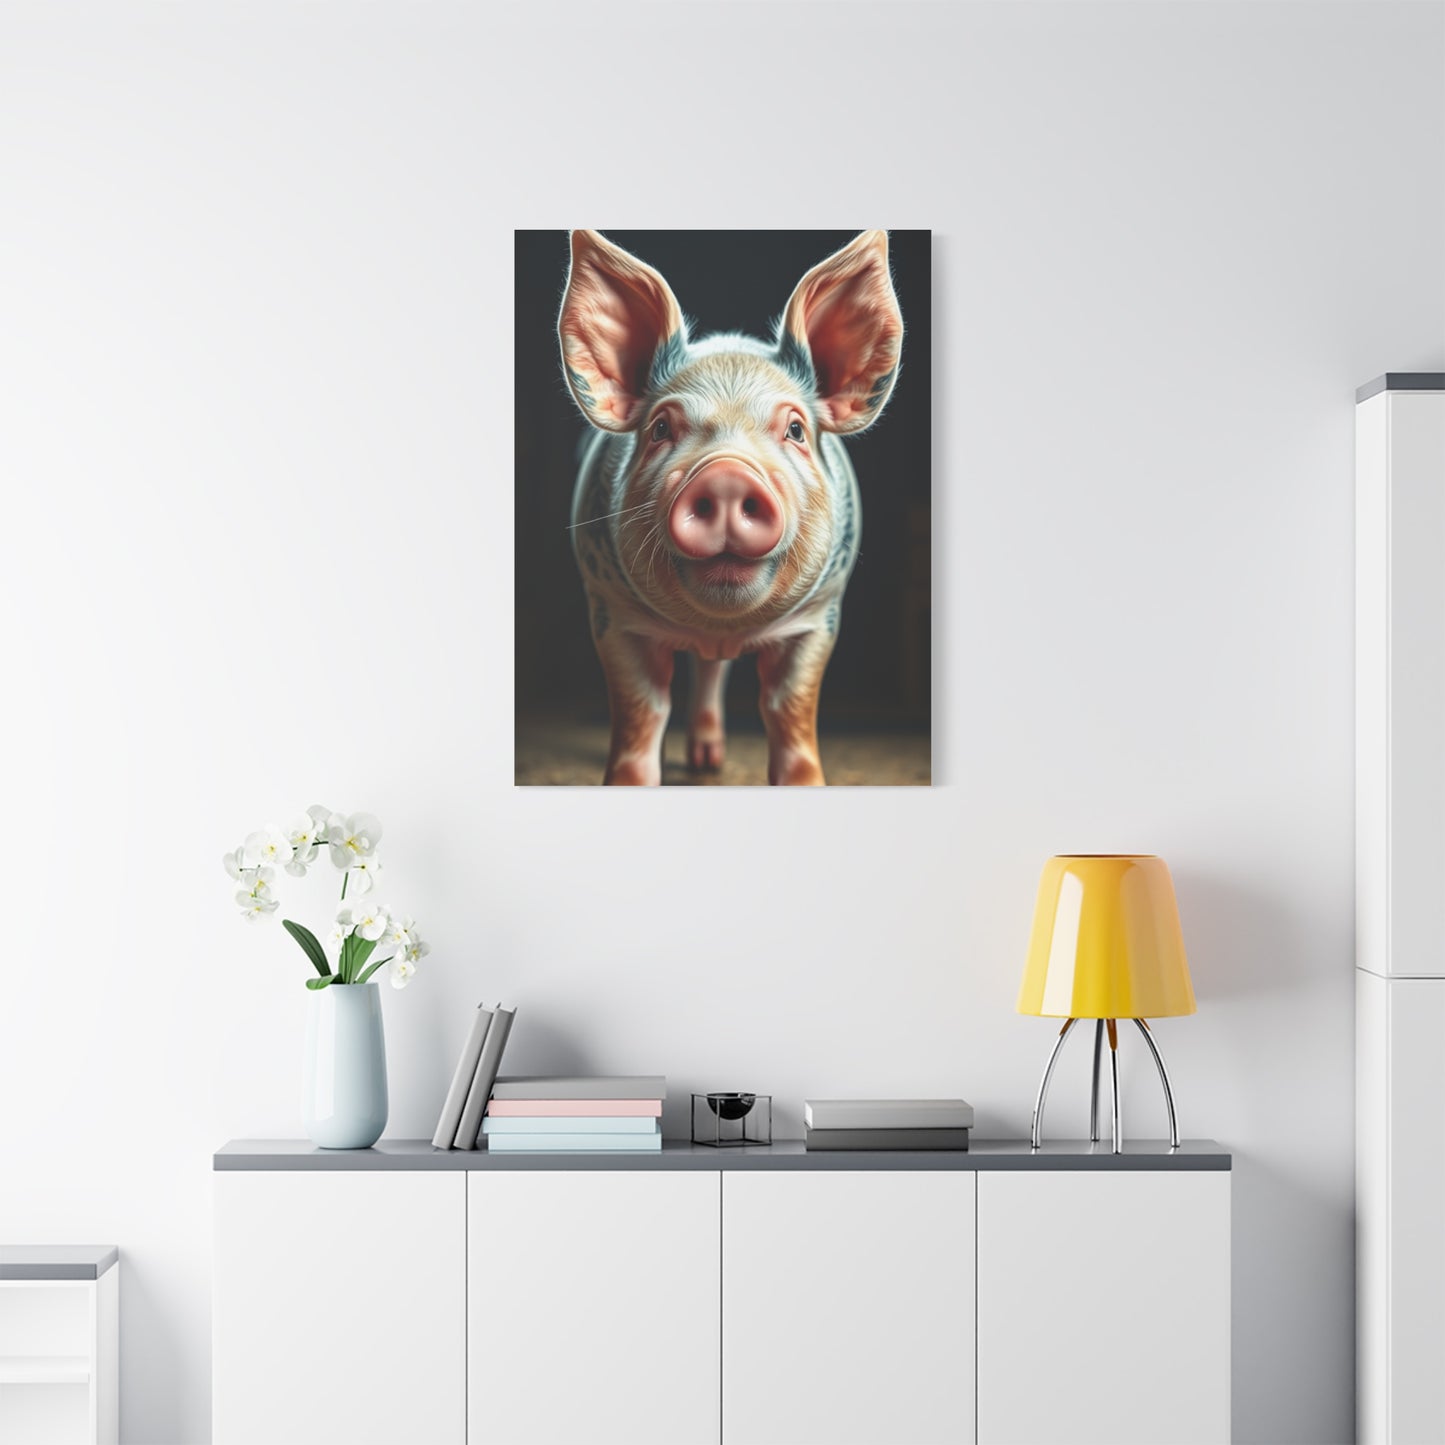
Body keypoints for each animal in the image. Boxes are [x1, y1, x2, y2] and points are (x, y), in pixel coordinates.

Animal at [559, 229, 904, 785]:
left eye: (795, 430)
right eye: (661, 428)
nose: (725, 474)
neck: (719, 628)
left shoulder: (820, 617)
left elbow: (789, 710)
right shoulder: (610, 612)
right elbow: (641, 711)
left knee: (713, 673)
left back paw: (710, 763)